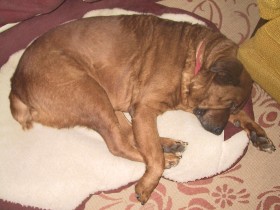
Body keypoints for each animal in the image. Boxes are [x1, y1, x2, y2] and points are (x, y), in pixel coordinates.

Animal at [9, 15, 276, 205]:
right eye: (230, 103)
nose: (219, 131)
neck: (198, 58)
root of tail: (16, 88)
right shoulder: (146, 108)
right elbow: (153, 159)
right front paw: (147, 184)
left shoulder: (170, 105)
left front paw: (258, 133)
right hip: (90, 92)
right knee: (119, 145)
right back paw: (168, 157)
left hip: (107, 100)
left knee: (130, 135)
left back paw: (169, 144)